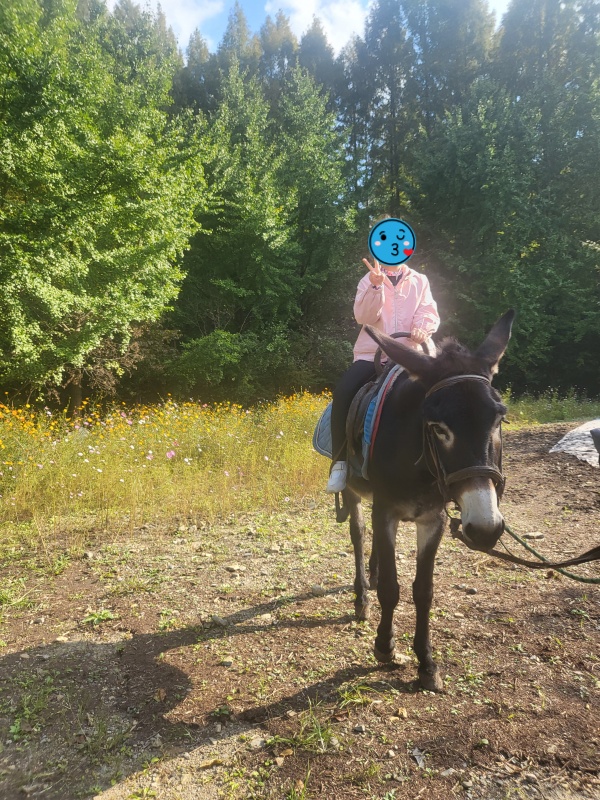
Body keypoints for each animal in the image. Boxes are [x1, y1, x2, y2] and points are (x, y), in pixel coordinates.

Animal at [340, 310, 515, 692]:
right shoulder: (386, 511)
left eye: (499, 419)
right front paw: (385, 646)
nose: (485, 529)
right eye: (437, 427)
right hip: (352, 490)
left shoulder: (433, 519)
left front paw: (426, 663)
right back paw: (362, 596)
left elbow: (423, 591)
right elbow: (391, 588)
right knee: (359, 535)